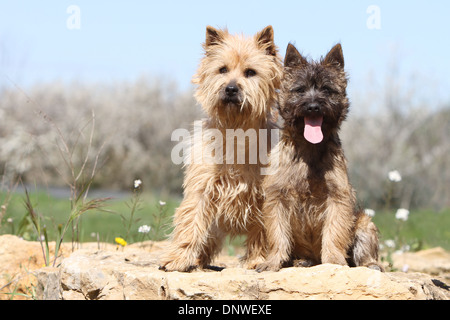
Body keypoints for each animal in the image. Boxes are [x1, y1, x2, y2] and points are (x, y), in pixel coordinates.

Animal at [161, 25, 282, 272]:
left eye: (250, 72)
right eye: (222, 69)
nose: (231, 88)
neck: (236, 130)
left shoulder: (264, 194)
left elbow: (263, 230)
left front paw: (259, 260)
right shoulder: (202, 187)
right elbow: (191, 220)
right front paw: (178, 258)